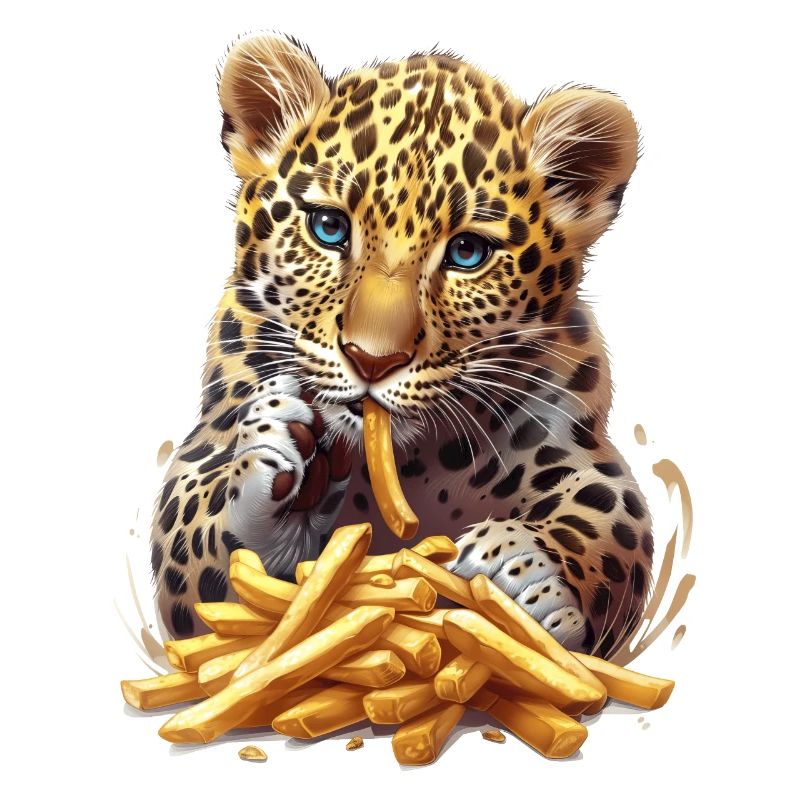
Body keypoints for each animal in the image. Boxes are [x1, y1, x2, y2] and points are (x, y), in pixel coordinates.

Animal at [149, 33, 653, 659]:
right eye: (329, 227)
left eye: (467, 253)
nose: (372, 360)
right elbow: (192, 545)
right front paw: (274, 444)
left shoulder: (575, 440)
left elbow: (612, 515)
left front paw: (525, 568)